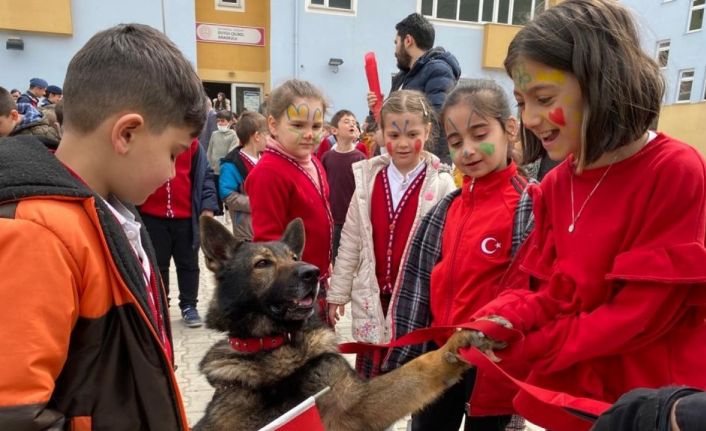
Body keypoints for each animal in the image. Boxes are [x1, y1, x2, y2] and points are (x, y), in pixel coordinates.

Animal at [195, 219, 476, 431]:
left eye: (294, 257)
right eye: (262, 263)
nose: (312, 272)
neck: (276, 349)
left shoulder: (359, 404)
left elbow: (420, 366)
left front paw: (455, 347)